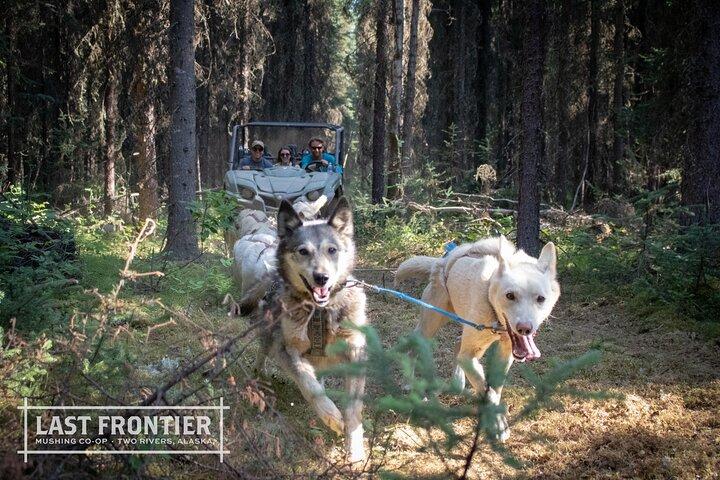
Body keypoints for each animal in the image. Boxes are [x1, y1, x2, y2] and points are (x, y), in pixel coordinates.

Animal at [253, 198, 368, 462]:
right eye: (303, 251)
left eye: (332, 250)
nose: (321, 277)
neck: (320, 312)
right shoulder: (288, 350)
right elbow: (309, 385)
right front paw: (330, 415)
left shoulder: (356, 352)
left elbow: (353, 409)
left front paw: (354, 447)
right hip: (267, 336)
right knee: (261, 354)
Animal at [396, 236, 560, 442]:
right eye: (510, 295)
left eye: (540, 299)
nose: (524, 328)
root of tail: (442, 261)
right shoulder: (470, 355)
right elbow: (488, 392)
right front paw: (498, 425)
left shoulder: (504, 354)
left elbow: (493, 390)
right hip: (430, 324)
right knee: (416, 346)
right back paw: (409, 383)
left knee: (456, 347)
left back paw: (458, 384)